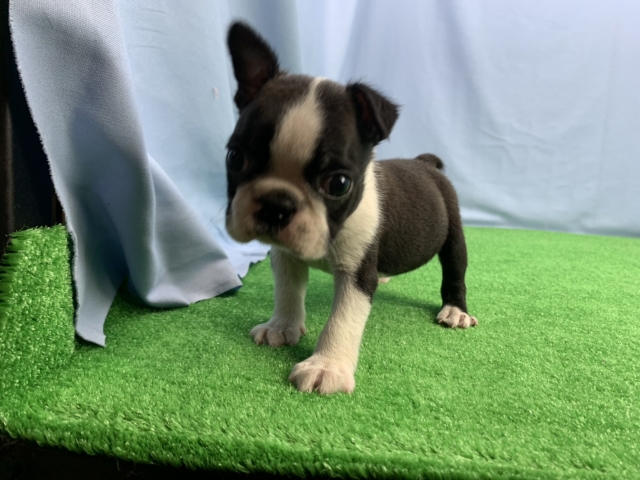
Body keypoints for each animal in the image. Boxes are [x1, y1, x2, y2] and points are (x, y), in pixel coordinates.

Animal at [224, 22, 477, 395]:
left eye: (338, 184)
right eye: (235, 158)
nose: (276, 204)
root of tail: (424, 163)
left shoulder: (356, 275)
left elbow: (342, 319)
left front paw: (326, 366)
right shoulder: (285, 257)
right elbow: (287, 291)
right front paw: (281, 326)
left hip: (453, 232)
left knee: (455, 270)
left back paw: (456, 310)